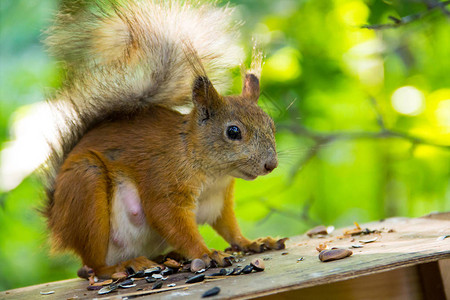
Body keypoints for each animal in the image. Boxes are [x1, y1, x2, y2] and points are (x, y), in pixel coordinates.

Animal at [44, 0, 286, 278]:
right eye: (233, 132)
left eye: (271, 125)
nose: (271, 165)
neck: (212, 173)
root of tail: (57, 222)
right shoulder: (164, 182)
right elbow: (170, 220)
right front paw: (207, 253)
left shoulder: (219, 200)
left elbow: (229, 227)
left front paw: (252, 242)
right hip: (86, 186)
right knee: (95, 265)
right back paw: (122, 266)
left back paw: (167, 257)